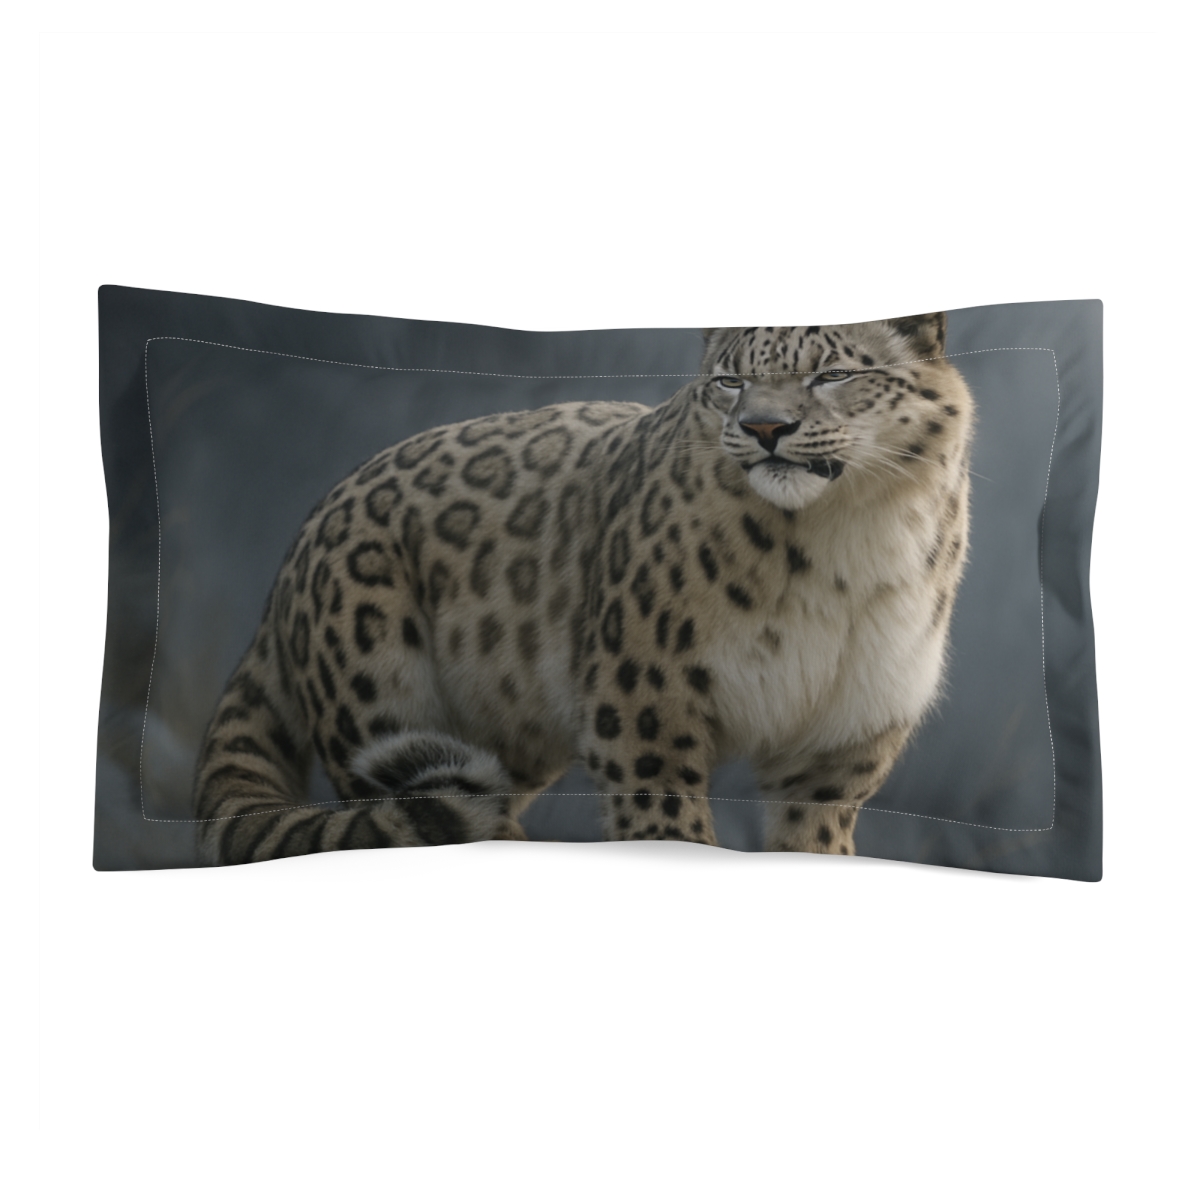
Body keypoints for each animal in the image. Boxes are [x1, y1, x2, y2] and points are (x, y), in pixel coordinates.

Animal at [193, 314, 974, 865]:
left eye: (833, 373)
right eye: (729, 382)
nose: (764, 428)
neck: (847, 544)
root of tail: (294, 554)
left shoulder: (841, 742)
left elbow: (813, 844)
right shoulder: (644, 705)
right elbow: (668, 828)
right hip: (377, 699)